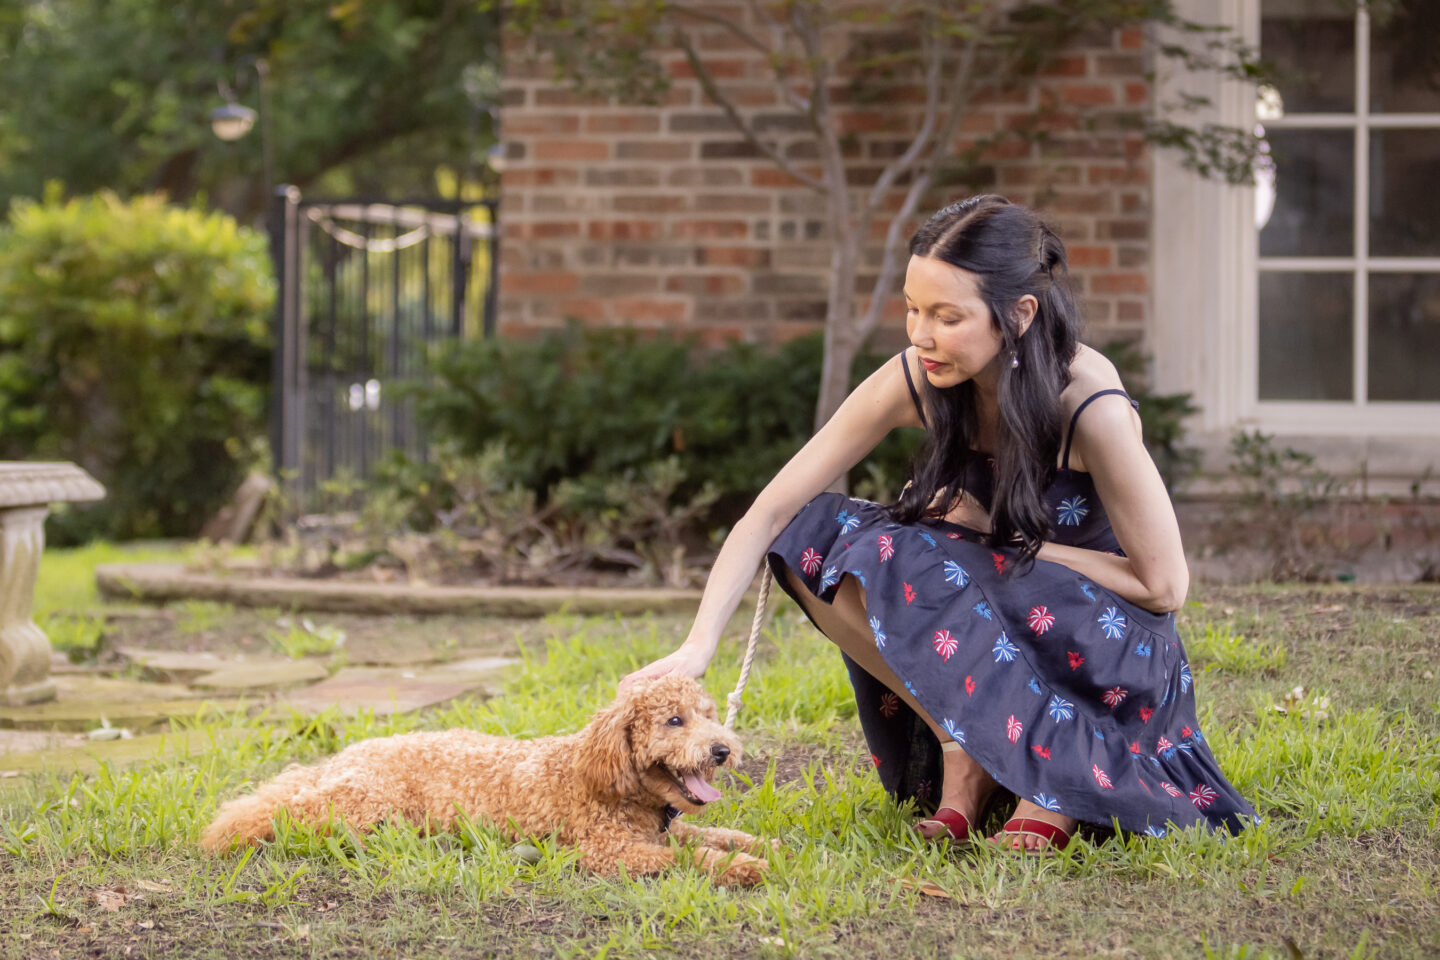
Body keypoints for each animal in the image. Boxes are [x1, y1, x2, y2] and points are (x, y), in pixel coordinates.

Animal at [200, 676, 777, 886]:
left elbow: (706, 834)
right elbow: (690, 856)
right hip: (364, 803)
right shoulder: (609, 850)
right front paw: (744, 867)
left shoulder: (660, 829)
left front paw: (759, 843)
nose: (722, 750)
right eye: (674, 720)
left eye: (708, 715)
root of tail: (343, 757)